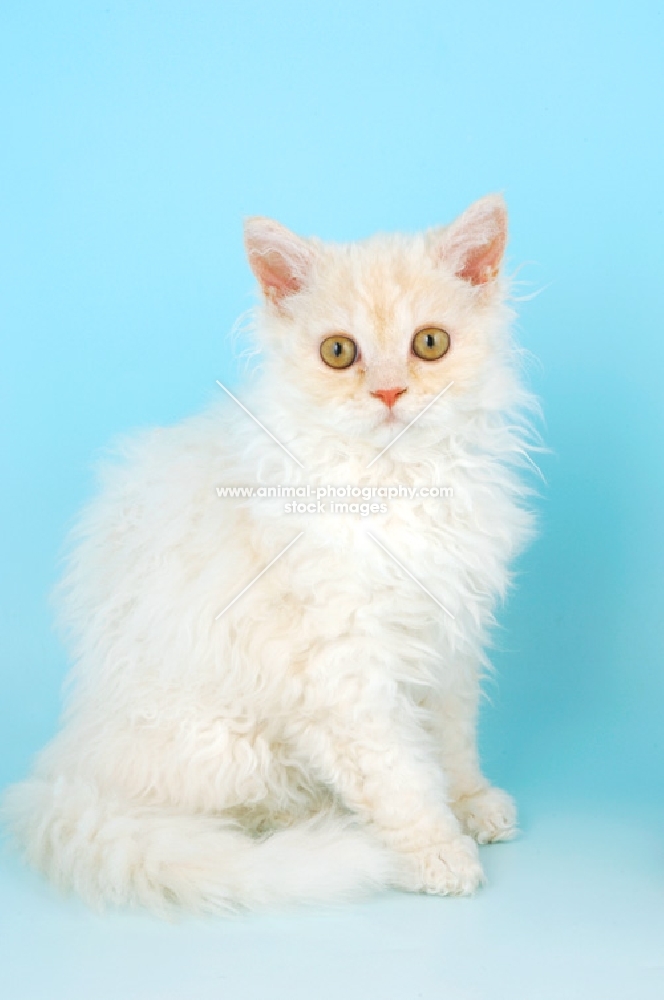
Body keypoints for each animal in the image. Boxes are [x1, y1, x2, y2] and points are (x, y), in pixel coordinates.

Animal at [2, 195, 536, 916]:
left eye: (430, 344)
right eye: (338, 353)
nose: (389, 394)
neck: (397, 483)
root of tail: (65, 770)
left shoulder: (449, 644)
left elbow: (452, 743)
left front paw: (471, 803)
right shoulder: (344, 672)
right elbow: (399, 776)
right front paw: (436, 851)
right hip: (227, 746)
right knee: (234, 813)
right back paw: (317, 825)